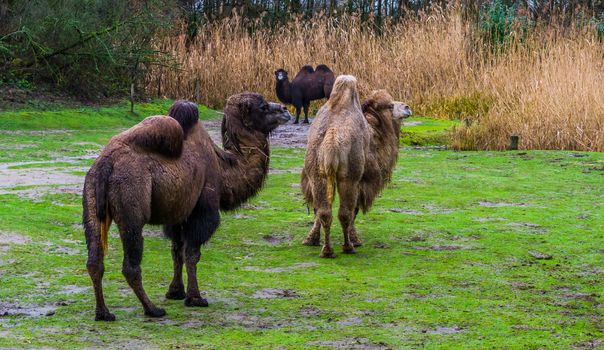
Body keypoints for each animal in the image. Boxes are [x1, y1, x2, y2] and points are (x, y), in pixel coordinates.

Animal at [82, 93, 290, 320]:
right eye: (262, 107)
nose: (285, 110)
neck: (224, 167)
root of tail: (106, 164)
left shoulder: (178, 212)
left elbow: (177, 250)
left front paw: (175, 292)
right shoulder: (202, 210)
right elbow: (192, 254)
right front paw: (195, 298)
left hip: (90, 197)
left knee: (94, 260)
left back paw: (103, 313)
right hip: (131, 203)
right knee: (131, 264)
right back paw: (152, 309)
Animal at [300, 87, 410, 258]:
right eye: (390, 105)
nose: (407, 107)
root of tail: (331, 140)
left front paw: (311, 239)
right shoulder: (364, 181)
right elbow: (355, 210)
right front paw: (355, 239)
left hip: (316, 172)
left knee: (323, 210)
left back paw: (325, 249)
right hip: (349, 176)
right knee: (345, 212)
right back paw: (348, 246)